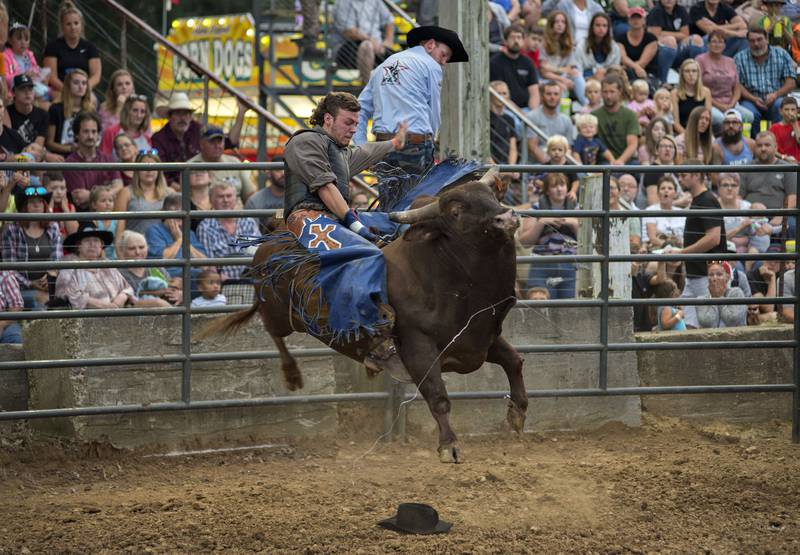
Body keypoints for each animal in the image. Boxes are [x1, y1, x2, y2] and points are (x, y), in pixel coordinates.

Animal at [199, 167, 524, 462]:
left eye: (492, 196)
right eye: (456, 211)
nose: (507, 217)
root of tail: (268, 243)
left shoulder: (479, 339)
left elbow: (514, 361)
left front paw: (518, 414)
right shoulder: (419, 350)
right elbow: (438, 396)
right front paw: (449, 446)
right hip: (280, 314)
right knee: (272, 331)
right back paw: (292, 374)